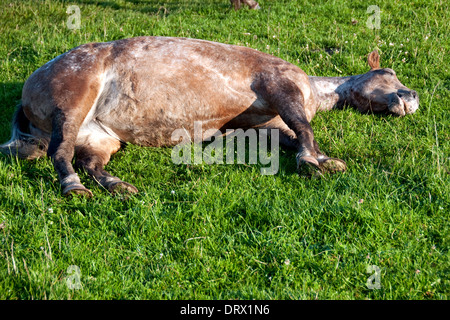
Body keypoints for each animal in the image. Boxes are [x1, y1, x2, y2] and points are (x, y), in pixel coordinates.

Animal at [0, 37, 418, 198]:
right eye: (389, 73)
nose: (411, 97)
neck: (311, 90)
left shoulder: (263, 125)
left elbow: (296, 134)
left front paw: (318, 158)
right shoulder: (281, 86)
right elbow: (304, 127)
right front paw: (313, 163)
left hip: (100, 137)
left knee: (88, 161)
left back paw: (118, 185)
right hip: (72, 107)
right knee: (59, 153)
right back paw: (73, 187)